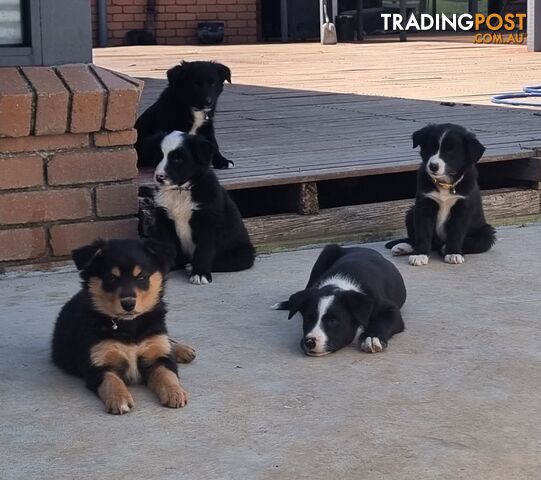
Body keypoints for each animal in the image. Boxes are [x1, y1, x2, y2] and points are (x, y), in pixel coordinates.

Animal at [51, 238, 195, 414]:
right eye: (111, 278)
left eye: (141, 277)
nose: (128, 304)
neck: (129, 325)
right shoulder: (98, 364)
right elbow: (111, 381)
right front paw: (119, 399)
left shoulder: (159, 355)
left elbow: (167, 374)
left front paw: (175, 392)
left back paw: (183, 349)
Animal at [149, 129, 256, 284]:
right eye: (159, 156)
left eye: (177, 159)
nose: (159, 177)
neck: (181, 191)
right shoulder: (164, 220)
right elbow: (166, 246)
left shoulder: (207, 222)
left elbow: (204, 251)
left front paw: (200, 273)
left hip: (243, 253)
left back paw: (191, 266)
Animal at [274, 246, 404, 354]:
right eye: (308, 319)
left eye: (332, 321)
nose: (309, 342)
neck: (338, 285)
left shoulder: (390, 308)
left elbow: (383, 321)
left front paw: (372, 338)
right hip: (327, 252)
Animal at [384, 123, 494, 266]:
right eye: (431, 147)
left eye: (451, 151)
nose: (433, 166)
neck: (445, 184)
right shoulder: (424, 205)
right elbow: (423, 233)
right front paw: (420, 254)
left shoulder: (462, 209)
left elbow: (456, 233)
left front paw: (453, 253)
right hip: (411, 213)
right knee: (423, 241)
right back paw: (404, 247)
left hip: (487, 232)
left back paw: (444, 248)